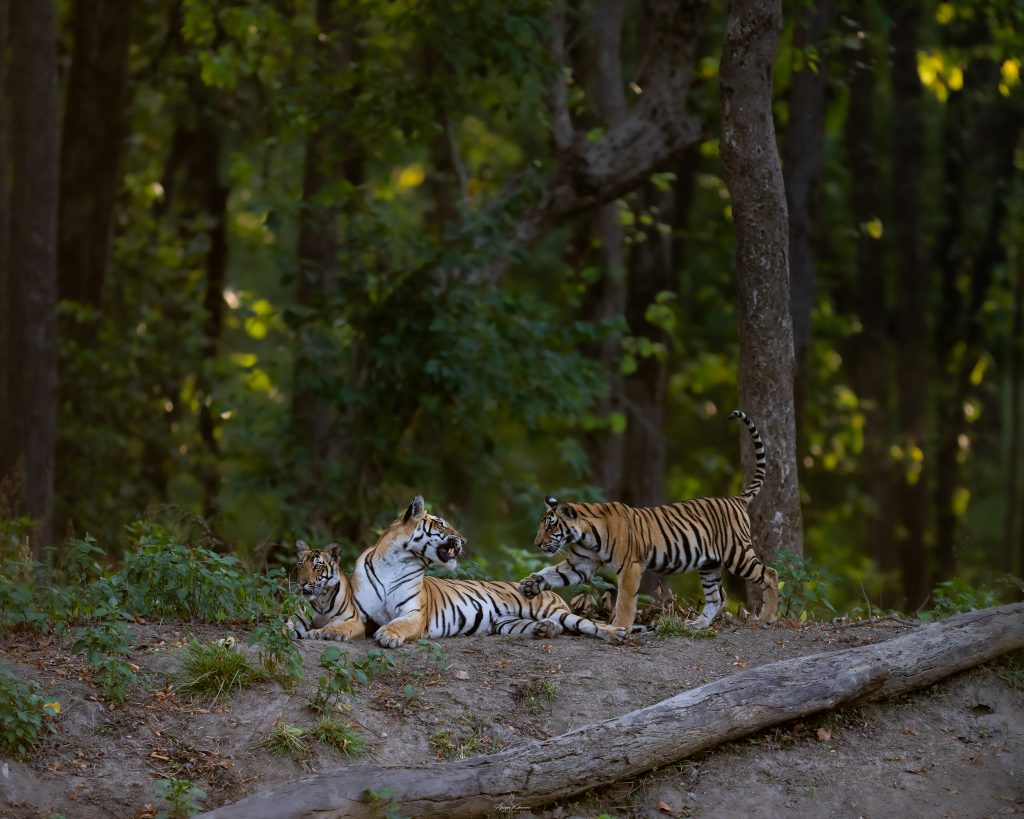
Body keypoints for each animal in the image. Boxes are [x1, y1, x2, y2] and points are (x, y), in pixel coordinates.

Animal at [348, 495, 626, 651]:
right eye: (441, 524)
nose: (464, 540)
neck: (396, 564)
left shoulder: (414, 614)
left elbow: (400, 624)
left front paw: (388, 634)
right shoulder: (358, 610)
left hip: (556, 612)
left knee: (588, 624)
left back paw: (616, 633)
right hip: (507, 623)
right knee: (547, 628)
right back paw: (544, 630)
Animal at [516, 409, 778, 634]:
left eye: (551, 525)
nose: (537, 543)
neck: (584, 535)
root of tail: (735, 498)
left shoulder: (630, 566)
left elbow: (624, 602)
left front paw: (619, 628)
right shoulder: (580, 564)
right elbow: (553, 573)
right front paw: (531, 584)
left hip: (737, 553)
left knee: (770, 574)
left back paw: (767, 618)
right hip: (709, 563)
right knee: (717, 596)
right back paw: (697, 625)